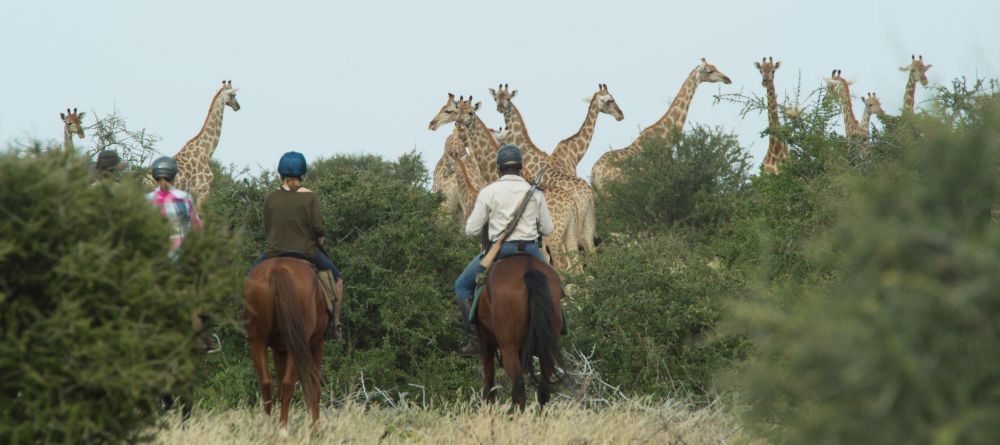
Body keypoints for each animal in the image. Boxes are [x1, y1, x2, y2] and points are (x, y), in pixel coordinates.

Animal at [241, 256, 324, 430]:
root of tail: (277, 269)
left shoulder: (279, 349)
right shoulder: (317, 343)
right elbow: (314, 386)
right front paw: (316, 427)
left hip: (258, 341)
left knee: (267, 384)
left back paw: (267, 428)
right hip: (297, 342)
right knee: (289, 384)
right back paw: (283, 429)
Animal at [474, 253, 564, 410]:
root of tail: (529, 269)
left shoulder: (486, 344)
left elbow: (489, 382)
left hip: (508, 348)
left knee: (518, 388)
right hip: (547, 348)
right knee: (544, 388)